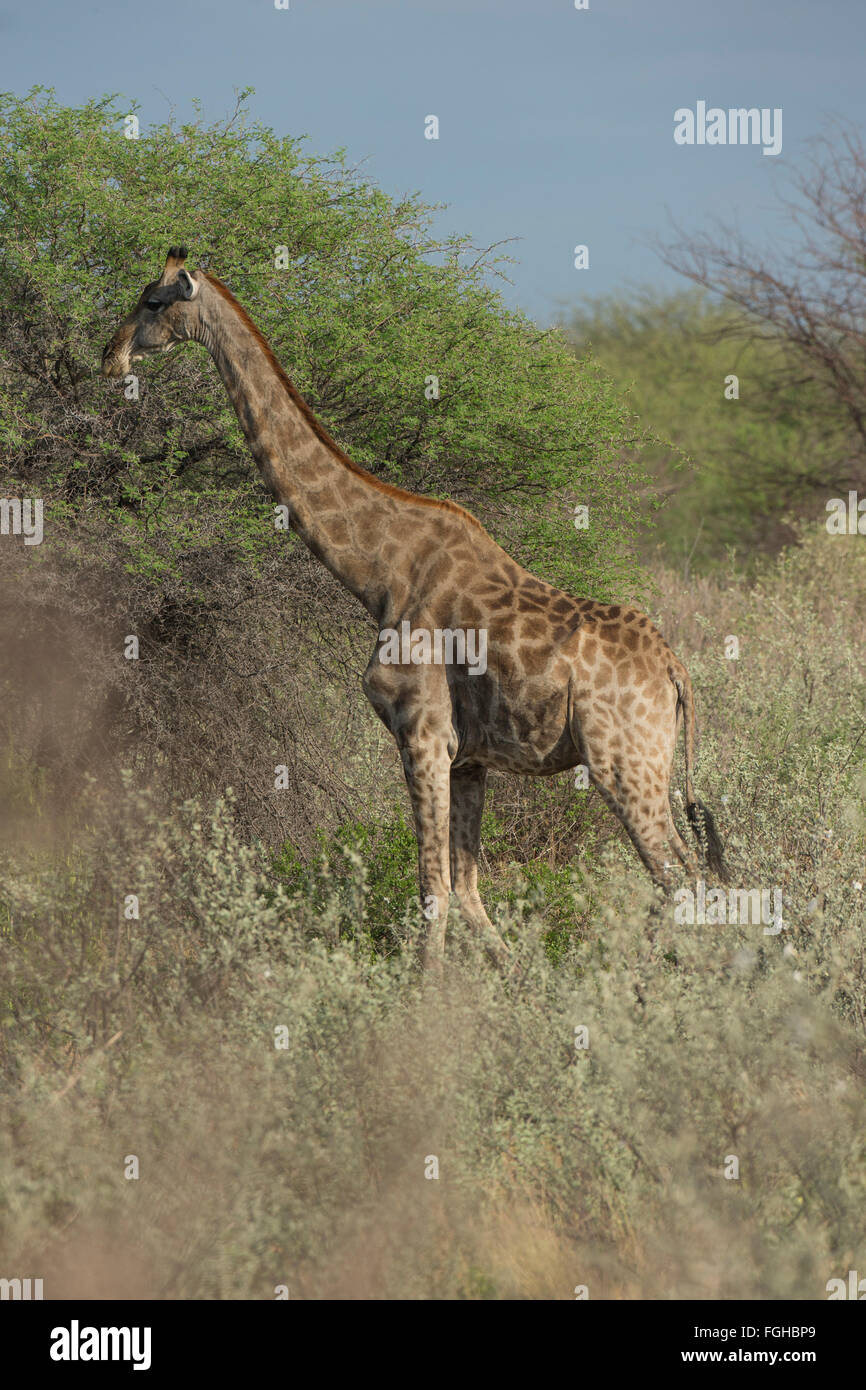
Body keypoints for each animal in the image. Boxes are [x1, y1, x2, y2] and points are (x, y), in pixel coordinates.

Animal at [100, 250, 722, 967]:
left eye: (151, 301)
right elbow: (470, 892)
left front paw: (424, 996)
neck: (377, 571)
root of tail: (675, 669)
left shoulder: (420, 732)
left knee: (678, 873)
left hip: (622, 760)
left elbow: (433, 890)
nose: (110, 356)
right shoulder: (470, 757)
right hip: (644, 760)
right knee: (690, 870)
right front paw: (508, 979)